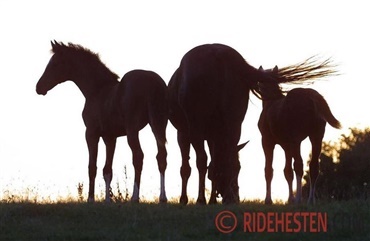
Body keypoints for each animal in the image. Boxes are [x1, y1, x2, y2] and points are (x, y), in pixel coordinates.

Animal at [35, 41, 168, 203]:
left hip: (133, 130)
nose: (39, 87)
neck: (97, 90)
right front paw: (107, 201)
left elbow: (92, 167)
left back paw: (135, 197)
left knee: (138, 157)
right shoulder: (110, 137)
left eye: (55, 63)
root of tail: (152, 82)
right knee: (161, 157)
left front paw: (91, 199)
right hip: (159, 125)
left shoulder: (91, 134)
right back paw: (162, 198)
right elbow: (107, 169)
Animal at [168, 43, 272, 203]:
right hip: (234, 124)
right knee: (225, 157)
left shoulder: (184, 134)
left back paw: (201, 200)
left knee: (201, 160)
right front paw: (212, 199)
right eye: (239, 168)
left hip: (197, 128)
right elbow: (215, 165)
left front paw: (186, 199)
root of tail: (217, 53)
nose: (237, 197)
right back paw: (222, 197)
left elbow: (187, 167)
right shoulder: (213, 136)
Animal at [258, 61, 342, 204]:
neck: (271, 103)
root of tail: (312, 96)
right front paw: (289, 199)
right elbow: (287, 171)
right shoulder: (286, 146)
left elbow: (269, 170)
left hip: (296, 140)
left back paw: (299, 199)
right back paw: (310, 200)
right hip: (316, 137)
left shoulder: (267, 141)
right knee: (313, 166)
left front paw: (268, 200)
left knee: (299, 165)